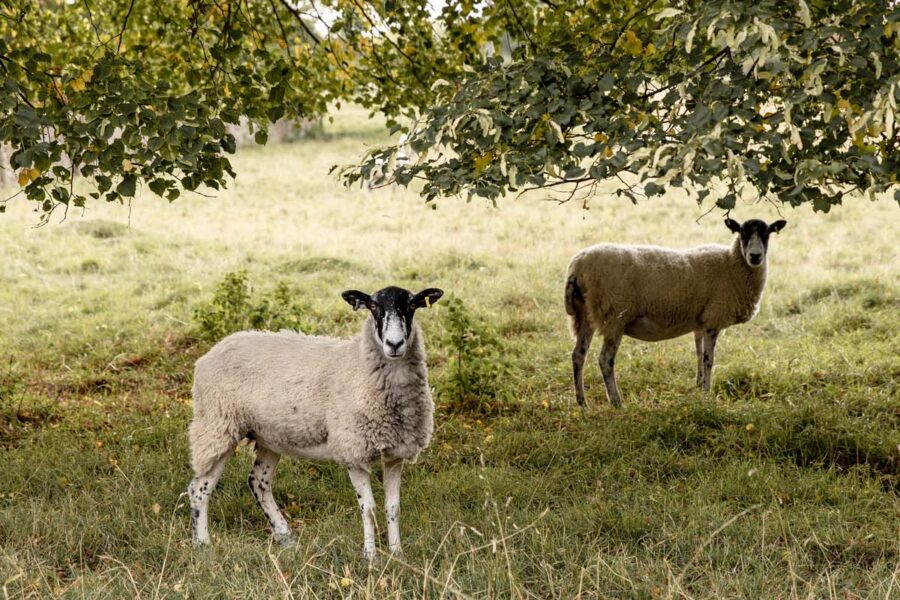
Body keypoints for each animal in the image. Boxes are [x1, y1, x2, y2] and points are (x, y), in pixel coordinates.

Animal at [187, 285, 444, 560]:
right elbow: (368, 509)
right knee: (199, 488)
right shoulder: (353, 451)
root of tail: (212, 351)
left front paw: (397, 555)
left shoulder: (395, 454)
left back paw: (285, 536)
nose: (394, 344)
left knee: (258, 482)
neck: (358, 364)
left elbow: (393, 507)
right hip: (216, 426)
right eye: (374, 306)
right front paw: (371, 557)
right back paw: (203, 543)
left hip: (268, 436)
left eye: (412, 306)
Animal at [564, 218, 786, 406]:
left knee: (578, 355)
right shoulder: (713, 319)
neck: (731, 264)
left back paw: (581, 402)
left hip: (585, 315)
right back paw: (617, 402)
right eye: (742, 233)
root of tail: (577, 266)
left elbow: (699, 355)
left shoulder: (701, 321)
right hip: (615, 316)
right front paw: (707, 394)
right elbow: (709, 360)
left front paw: (699, 387)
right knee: (605, 360)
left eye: (767, 234)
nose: (755, 256)